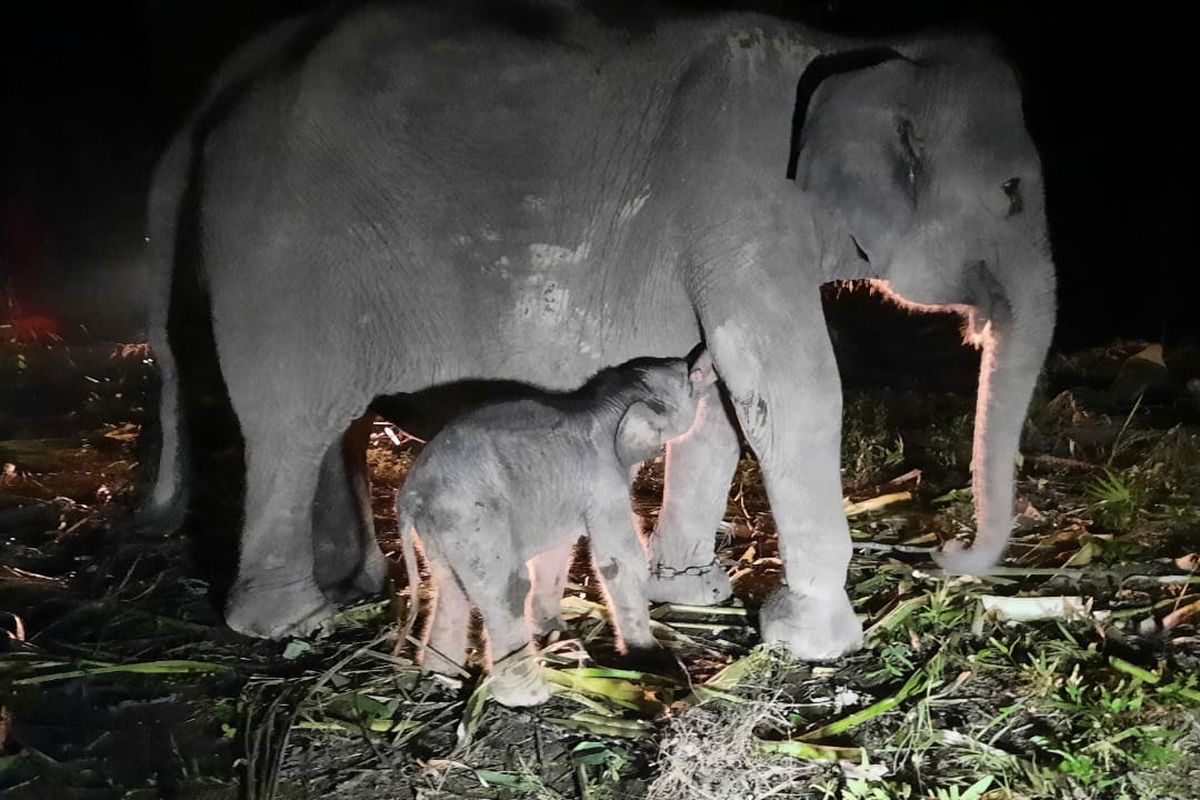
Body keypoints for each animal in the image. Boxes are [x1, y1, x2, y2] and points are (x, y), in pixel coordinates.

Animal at [145, 3, 1056, 662]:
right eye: (1013, 191)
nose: (948, 552)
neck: (855, 48)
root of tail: (212, 99)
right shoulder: (738, 199)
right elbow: (786, 388)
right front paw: (808, 638)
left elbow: (715, 400)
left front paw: (694, 591)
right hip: (281, 252)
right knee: (291, 417)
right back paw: (290, 620)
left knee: (335, 420)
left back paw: (354, 584)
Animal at [396, 350, 710, 705]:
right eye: (687, 380)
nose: (701, 360)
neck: (605, 405)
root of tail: (411, 496)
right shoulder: (604, 484)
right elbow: (620, 561)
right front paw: (651, 659)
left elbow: (556, 553)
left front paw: (555, 632)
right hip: (473, 521)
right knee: (508, 590)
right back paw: (532, 696)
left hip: (441, 531)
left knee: (451, 591)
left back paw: (440, 675)